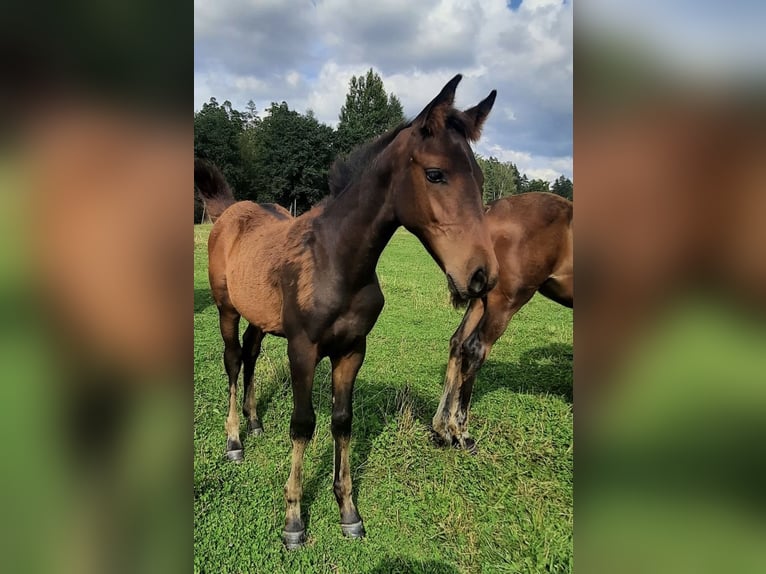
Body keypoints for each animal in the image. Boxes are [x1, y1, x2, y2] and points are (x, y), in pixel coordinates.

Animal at [195, 74, 500, 552]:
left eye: (482, 177)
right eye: (436, 174)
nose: (482, 275)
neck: (337, 260)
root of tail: (229, 212)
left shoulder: (352, 349)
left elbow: (342, 422)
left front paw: (348, 511)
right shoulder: (303, 349)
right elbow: (304, 424)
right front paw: (294, 520)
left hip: (261, 319)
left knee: (250, 354)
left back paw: (255, 421)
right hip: (226, 309)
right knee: (231, 360)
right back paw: (234, 440)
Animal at [432, 194, 576, 454]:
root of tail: (490, 210)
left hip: (480, 298)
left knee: (457, 342)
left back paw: (442, 429)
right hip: (505, 302)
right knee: (475, 349)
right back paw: (462, 433)